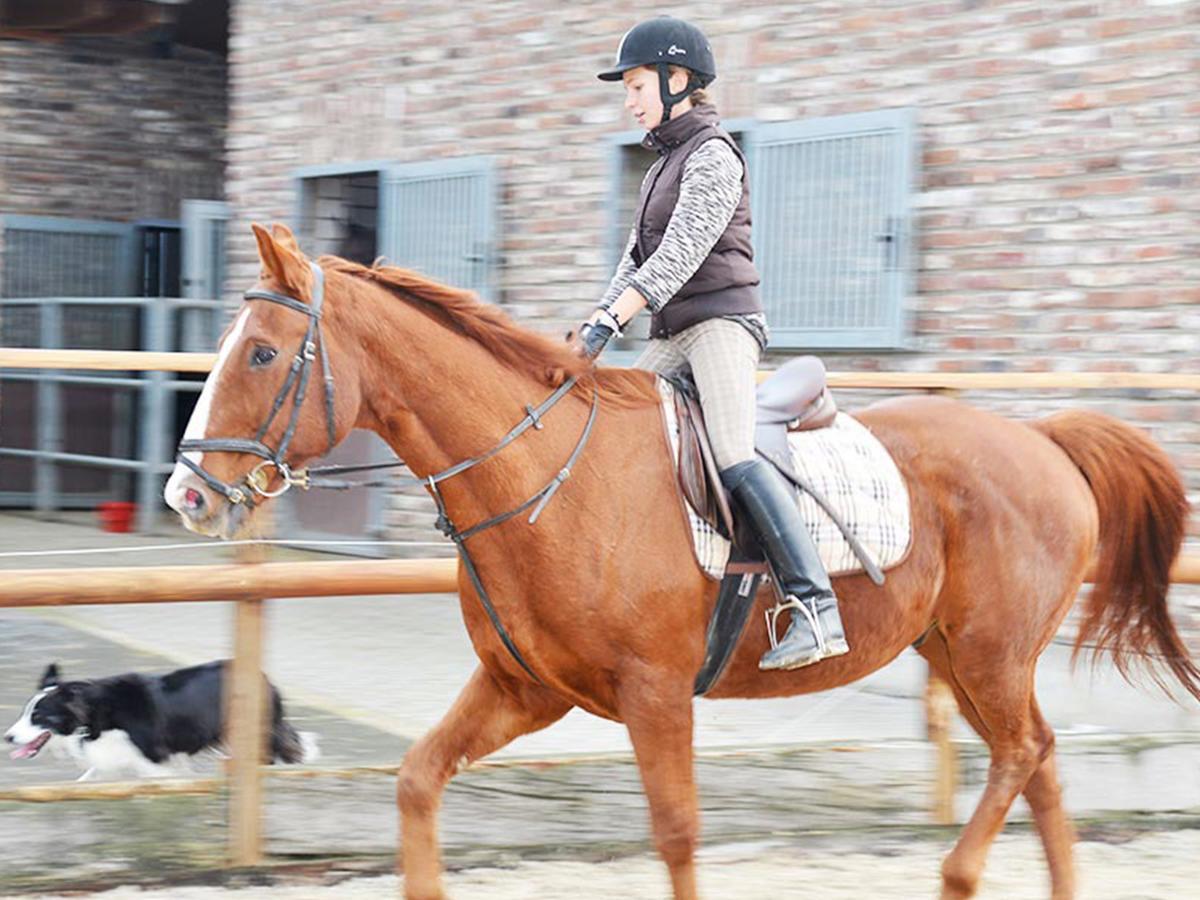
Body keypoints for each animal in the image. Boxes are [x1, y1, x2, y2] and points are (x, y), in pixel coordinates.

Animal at [3, 662, 319, 782]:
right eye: (25, 712)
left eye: (38, 716)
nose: (7, 737)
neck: (93, 714)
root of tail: (265, 678)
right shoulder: (111, 757)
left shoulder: (154, 760)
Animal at [166, 222, 1200, 897]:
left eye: (261, 355)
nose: (186, 495)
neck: (544, 472)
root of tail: (1043, 439)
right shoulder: (524, 689)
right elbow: (418, 781)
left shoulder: (655, 695)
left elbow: (675, 835)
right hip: (957, 652)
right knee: (1041, 765)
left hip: (989, 653)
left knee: (1024, 755)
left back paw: (955, 874)